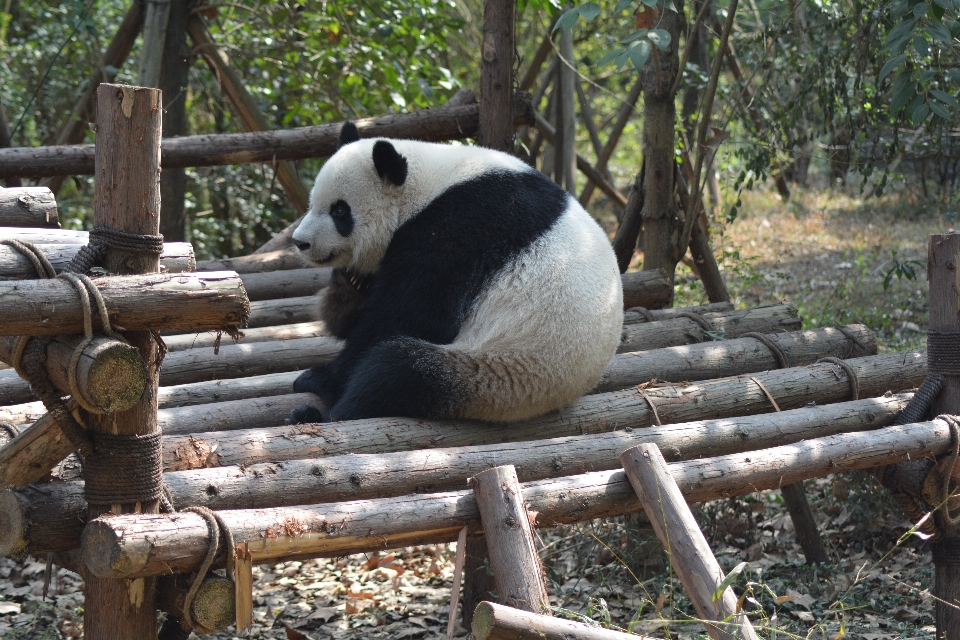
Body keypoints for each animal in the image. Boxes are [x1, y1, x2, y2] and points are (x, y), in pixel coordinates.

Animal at [288, 123, 628, 424]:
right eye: (312, 203)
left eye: (340, 211)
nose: (300, 242)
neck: (426, 186)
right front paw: (350, 285)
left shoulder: (462, 228)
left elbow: (410, 314)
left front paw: (320, 378)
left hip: (499, 372)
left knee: (395, 373)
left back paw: (317, 414)